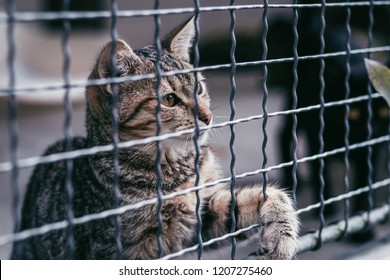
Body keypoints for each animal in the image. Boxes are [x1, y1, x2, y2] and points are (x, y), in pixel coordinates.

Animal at [12, 18, 298, 260]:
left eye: (199, 88)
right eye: (169, 99)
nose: (207, 116)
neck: (175, 169)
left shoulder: (202, 214)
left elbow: (261, 197)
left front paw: (281, 231)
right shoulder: (122, 249)